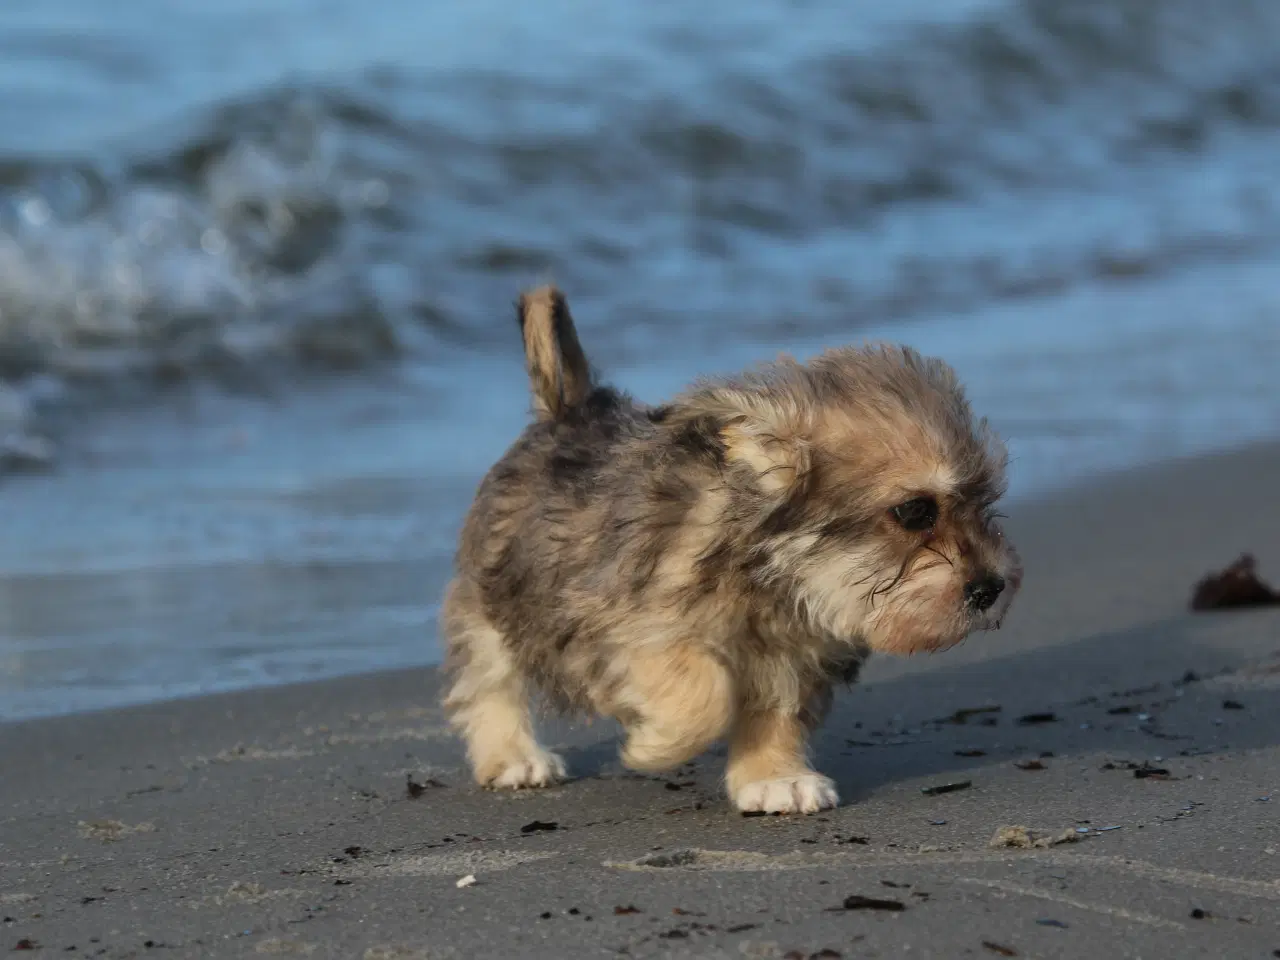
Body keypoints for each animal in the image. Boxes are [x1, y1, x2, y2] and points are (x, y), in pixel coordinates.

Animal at [440, 284, 1018, 814]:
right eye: (915, 511)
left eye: (984, 500)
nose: (991, 589)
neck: (769, 570)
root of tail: (564, 411)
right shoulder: (625, 628)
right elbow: (705, 691)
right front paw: (653, 743)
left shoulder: (793, 654)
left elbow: (774, 714)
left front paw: (775, 778)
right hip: (491, 602)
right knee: (488, 681)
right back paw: (513, 757)